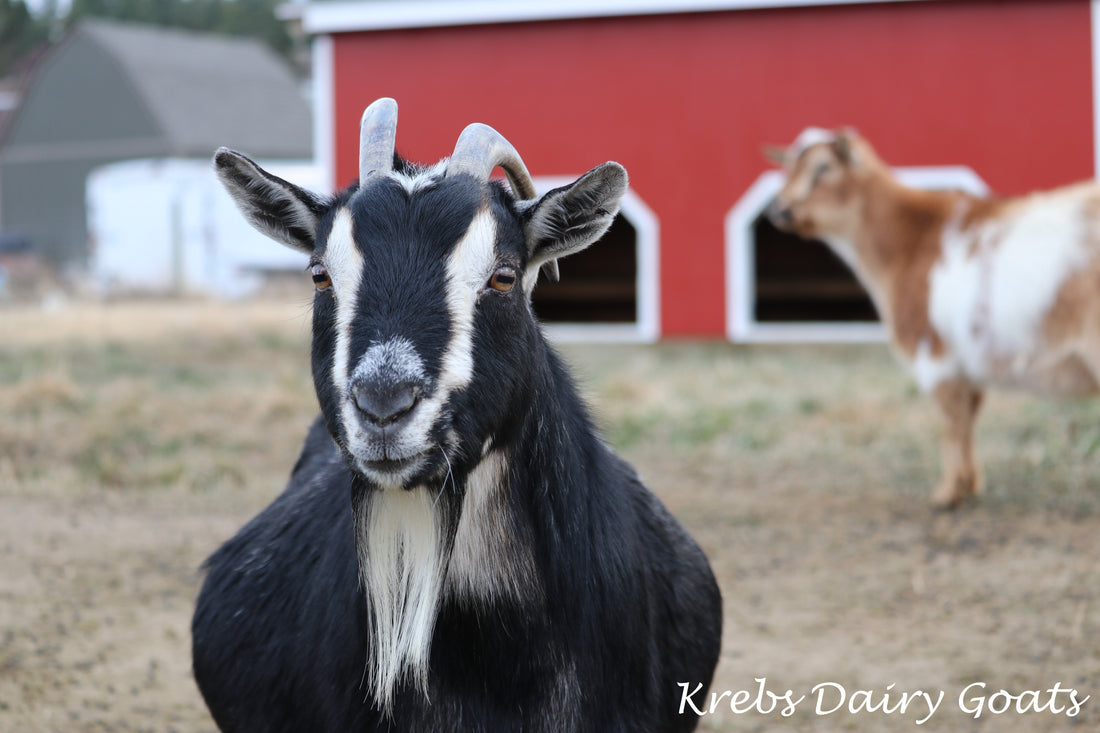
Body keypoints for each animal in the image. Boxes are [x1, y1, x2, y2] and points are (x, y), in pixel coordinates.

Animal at [766, 128, 1100, 508]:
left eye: (823, 167)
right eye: (789, 167)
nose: (777, 209)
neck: (909, 240)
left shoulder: (934, 352)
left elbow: (950, 423)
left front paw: (947, 494)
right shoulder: (966, 364)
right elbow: (967, 419)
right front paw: (970, 485)